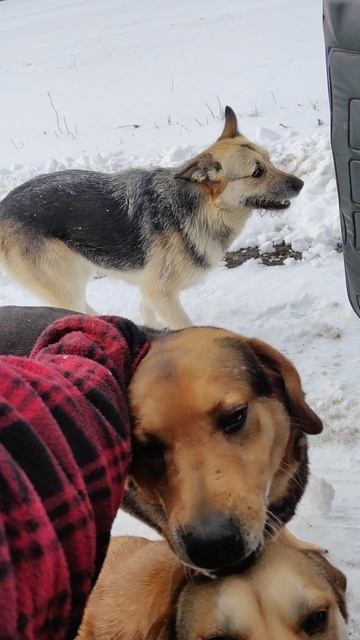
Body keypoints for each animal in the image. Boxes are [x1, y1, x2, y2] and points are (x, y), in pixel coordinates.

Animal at [0, 105, 304, 330]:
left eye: (270, 160)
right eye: (257, 172)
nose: (300, 184)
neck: (200, 207)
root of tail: (3, 207)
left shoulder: (152, 290)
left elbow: (146, 311)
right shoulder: (162, 293)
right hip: (65, 286)